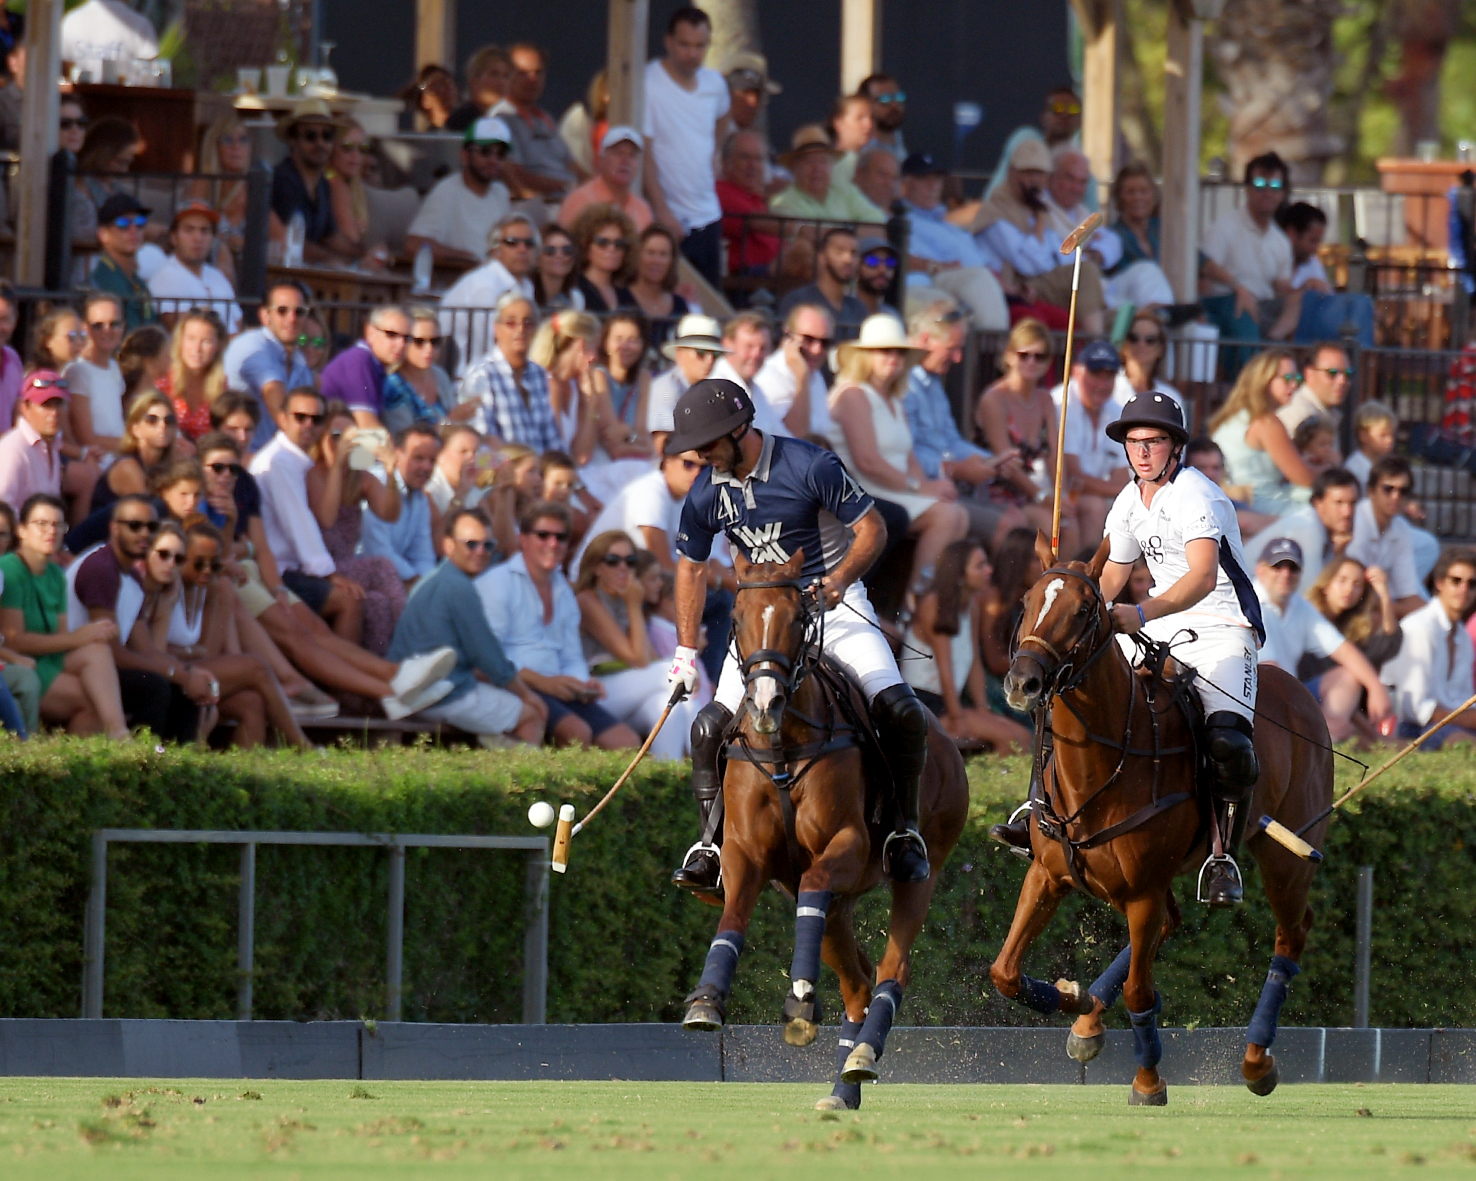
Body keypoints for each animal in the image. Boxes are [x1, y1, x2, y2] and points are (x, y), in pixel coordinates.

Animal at [679, 547, 969, 1110]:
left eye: (798, 618)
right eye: (737, 619)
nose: (764, 704)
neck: (783, 750)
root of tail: (949, 741)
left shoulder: (847, 846)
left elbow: (814, 881)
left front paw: (799, 1000)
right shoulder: (746, 852)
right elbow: (733, 917)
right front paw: (707, 1000)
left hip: (921, 869)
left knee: (890, 970)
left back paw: (862, 1056)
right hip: (841, 907)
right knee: (857, 983)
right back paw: (843, 1087)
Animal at [991, 534, 1331, 1105]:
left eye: (1084, 611)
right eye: (1027, 601)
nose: (1023, 682)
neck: (1107, 758)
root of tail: (1301, 689)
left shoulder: (1142, 891)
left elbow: (1140, 992)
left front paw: (1148, 1080)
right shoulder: (1048, 874)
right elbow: (1005, 972)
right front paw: (1074, 999)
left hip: (1287, 857)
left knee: (1292, 933)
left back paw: (1257, 1062)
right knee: (1175, 923)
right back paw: (1087, 1026)